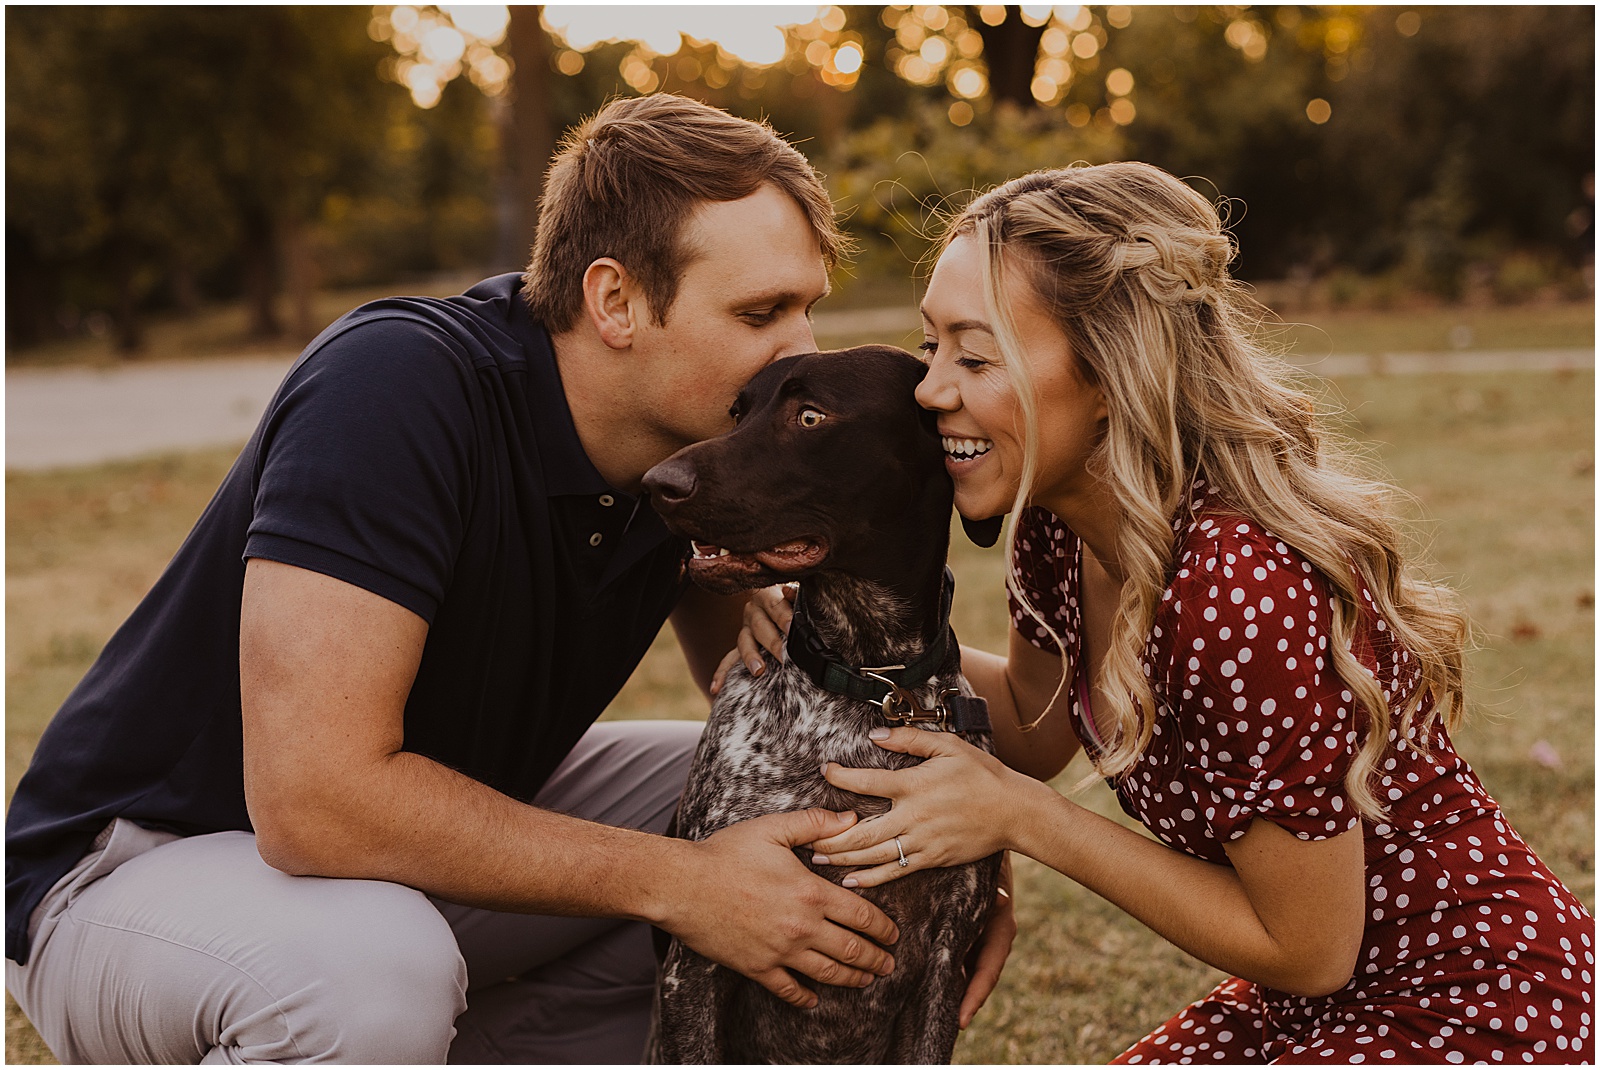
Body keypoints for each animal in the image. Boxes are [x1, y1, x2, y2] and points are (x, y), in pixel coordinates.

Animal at [636, 343, 998, 1062]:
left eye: (810, 416)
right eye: (738, 412)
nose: (659, 483)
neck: (874, 679)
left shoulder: (947, 961)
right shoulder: (699, 960)